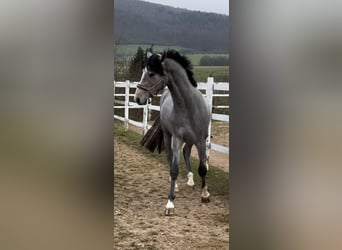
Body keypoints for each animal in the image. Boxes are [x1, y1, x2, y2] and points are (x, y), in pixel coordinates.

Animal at [134, 50, 210, 215]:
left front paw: (205, 194)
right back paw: (176, 185)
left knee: (186, 152)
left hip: (191, 140)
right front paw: (170, 203)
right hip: (169, 137)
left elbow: (202, 168)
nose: (137, 98)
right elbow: (174, 169)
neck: (189, 106)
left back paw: (190, 180)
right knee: (170, 158)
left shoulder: (201, 140)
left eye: (151, 74)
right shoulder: (176, 138)